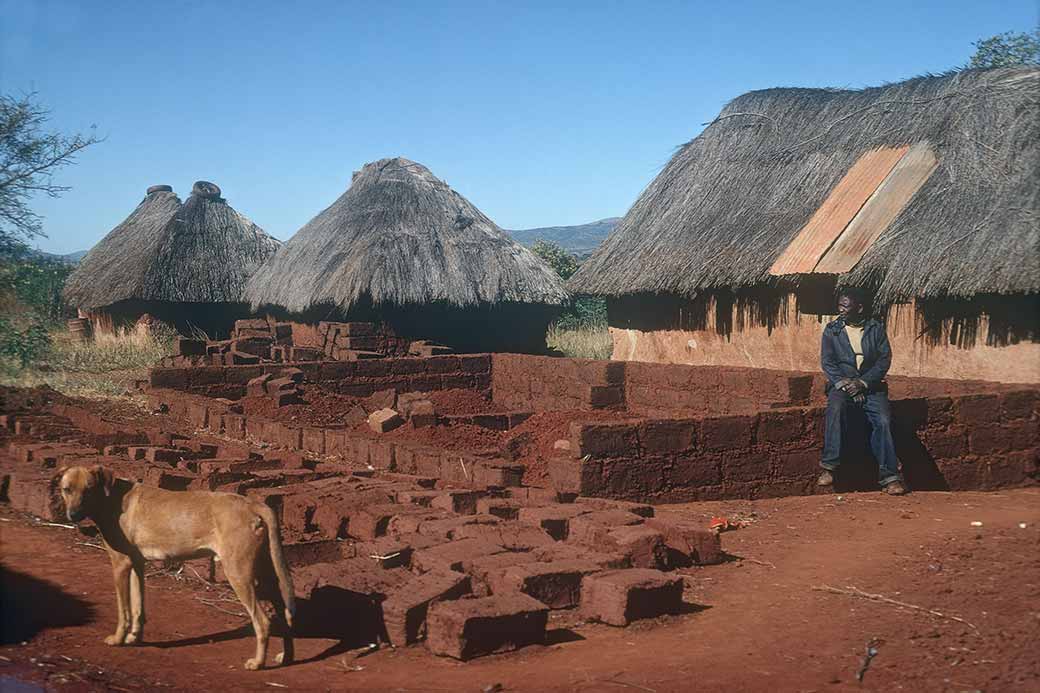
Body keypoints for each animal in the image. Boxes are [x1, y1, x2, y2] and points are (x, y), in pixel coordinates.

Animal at [59, 464, 297, 670]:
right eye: (66, 489)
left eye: (89, 489)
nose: (73, 516)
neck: (111, 499)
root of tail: (252, 503)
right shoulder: (137, 564)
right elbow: (137, 608)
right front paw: (134, 638)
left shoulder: (121, 564)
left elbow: (123, 611)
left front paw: (118, 639)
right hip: (267, 574)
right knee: (285, 616)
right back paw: (286, 657)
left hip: (239, 573)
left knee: (263, 622)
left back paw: (258, 663)